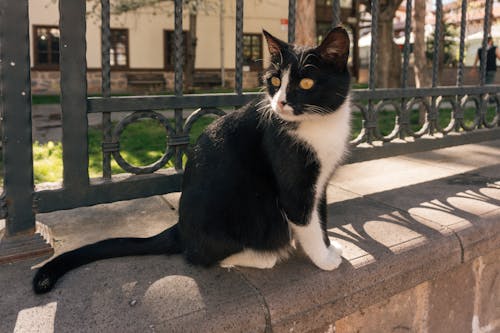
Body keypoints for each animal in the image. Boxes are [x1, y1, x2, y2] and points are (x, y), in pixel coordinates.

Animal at [33, 27, 352, 294]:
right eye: (274, 80)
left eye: (306, 82)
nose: (280, 103)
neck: (320, 124)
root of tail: (181, 228)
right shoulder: (293, 183)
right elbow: (305, 219)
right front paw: (324, 258)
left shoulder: (320, 182)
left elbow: (320, 215)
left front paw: (327, 246)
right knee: (201, 255)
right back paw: (265, 255)